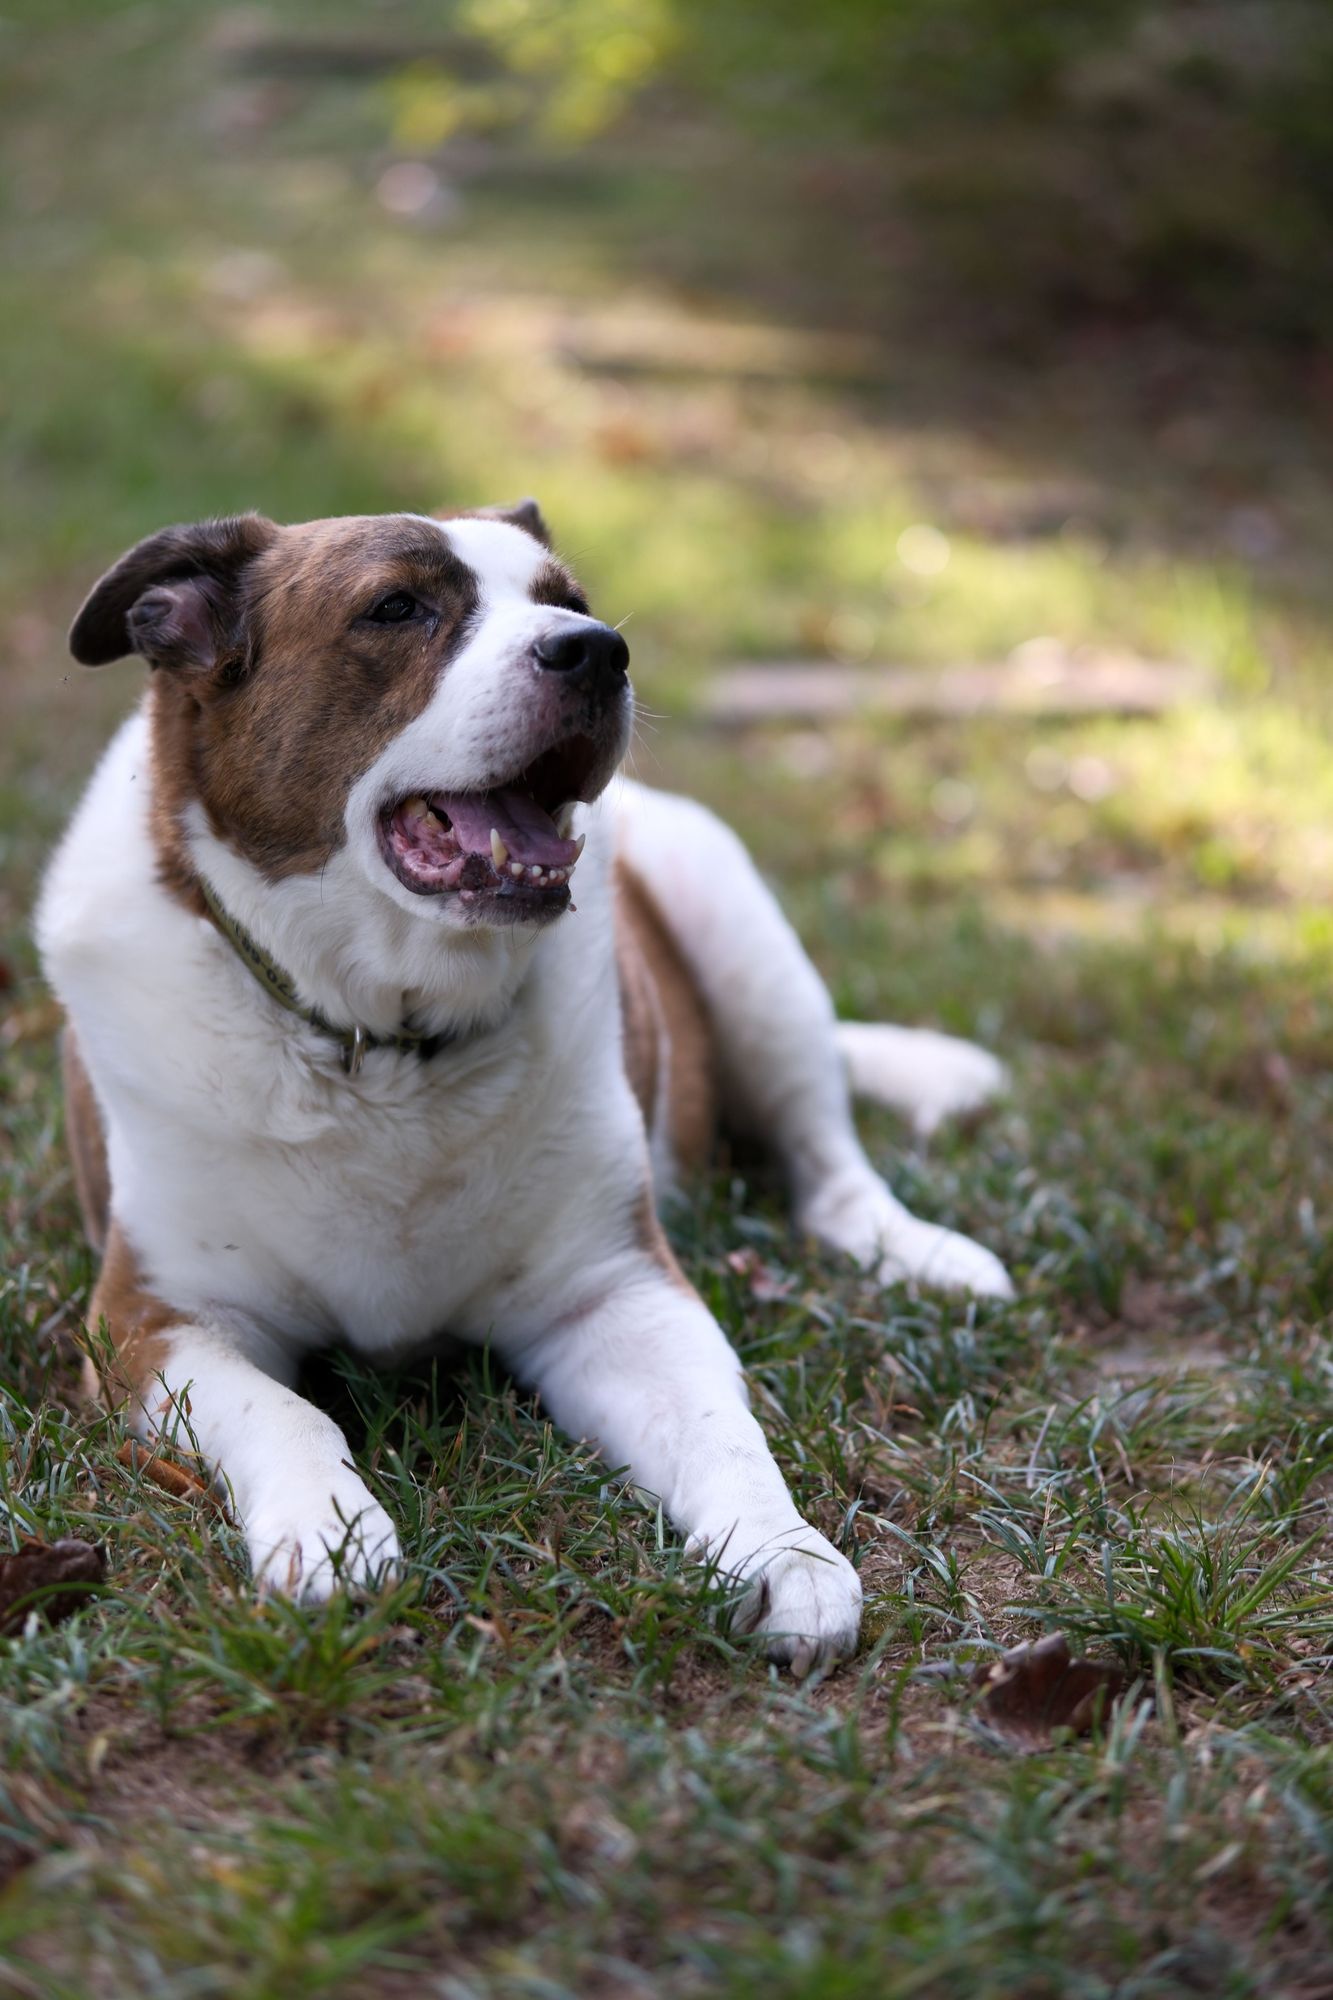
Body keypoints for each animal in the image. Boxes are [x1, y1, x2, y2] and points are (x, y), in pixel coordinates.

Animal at [36, 500, 1008, 1672]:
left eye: (569, 601)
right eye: (396, 608)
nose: (596, 650)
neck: (382, 1039)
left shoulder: (617, 1289)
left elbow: (721, 1427)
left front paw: (783, 1551)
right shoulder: (153, 1320)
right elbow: (286, 1412)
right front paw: (331, 1525)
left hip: (733, 916)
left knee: (826, 1161)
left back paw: (915, 1249)